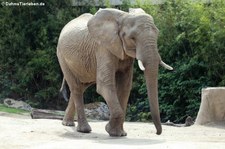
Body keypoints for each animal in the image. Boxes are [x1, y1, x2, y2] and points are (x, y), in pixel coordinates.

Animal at [56, 7, 172, 136]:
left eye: (157, 34)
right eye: (132, 38)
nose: (157, 133)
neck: (124, 17)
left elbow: (125, 86)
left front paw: (118, 134)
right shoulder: (103, 48)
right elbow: (104, 85)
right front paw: (110, 130)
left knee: (80, 87)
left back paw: (68, 124)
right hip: (62, 56)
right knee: (76, 87)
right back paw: (84, 130)